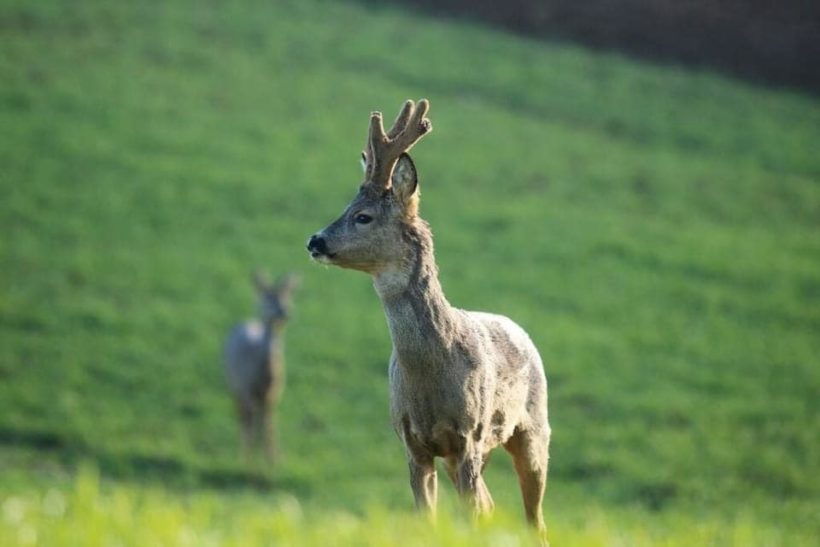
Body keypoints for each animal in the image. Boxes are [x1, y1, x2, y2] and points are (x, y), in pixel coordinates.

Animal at [224, 272, 298, 462]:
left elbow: (269, 424)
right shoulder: (246, 389)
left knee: (259, 420)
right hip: (234, 385)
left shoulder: (274, 395)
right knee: (243, 418)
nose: (285, 311)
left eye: (286, 296)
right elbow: (252, 423)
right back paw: (246, 452)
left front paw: (273, 458)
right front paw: (248, 458)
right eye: (267, 297)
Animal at [306, 98, 552, 536]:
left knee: (534, 518)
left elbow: (471, 514)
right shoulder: (413, 443)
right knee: (491, 505)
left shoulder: (469, 434)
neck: (432, 370)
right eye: (345, 209)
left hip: (533, 429)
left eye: (363, 216)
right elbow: (427, 518)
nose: (314, 241)